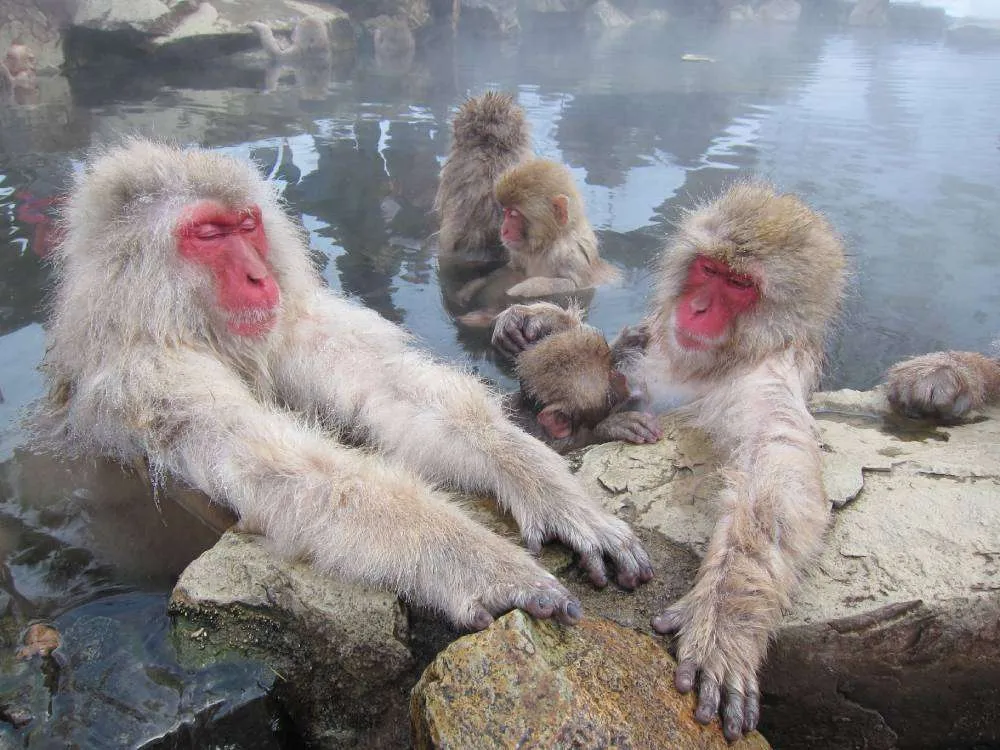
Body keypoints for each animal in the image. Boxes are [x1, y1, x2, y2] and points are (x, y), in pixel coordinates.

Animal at [37, 139, 654, 635]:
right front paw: (472, 560)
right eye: (208, 234)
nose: (259, 276)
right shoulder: (148, 381)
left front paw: (542, 483)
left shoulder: (286, 322)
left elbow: (388, 393)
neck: (181, 326)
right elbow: (292, 475)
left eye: (247, 226)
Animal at [493, 180, 846, 740]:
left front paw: (725, 624)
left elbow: (776, 470)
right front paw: (536, 320)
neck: (713, 360)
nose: (697, 308)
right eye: (707, 269)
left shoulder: (766, 378)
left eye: (739, 284)